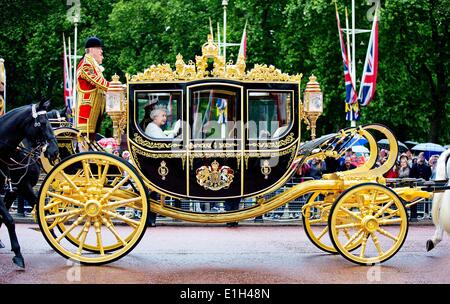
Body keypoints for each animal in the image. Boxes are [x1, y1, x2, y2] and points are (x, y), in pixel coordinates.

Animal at [0, 100, 59, 268]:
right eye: (43, 123)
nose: (55, 151)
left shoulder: (17, 188)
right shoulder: (19, 187)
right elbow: (9, 219)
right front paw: (18, 253)